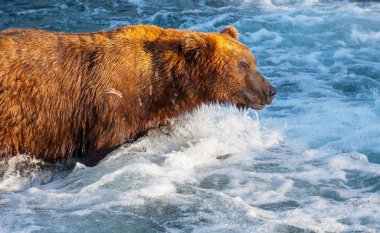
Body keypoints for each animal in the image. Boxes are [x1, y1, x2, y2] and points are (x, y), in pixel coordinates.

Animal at [0, 25, 274, 166]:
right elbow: (103, 147)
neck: (159, 83)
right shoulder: (111, 107)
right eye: (243, 64)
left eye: (252, 61)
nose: (270, 90)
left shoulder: (150, 113)